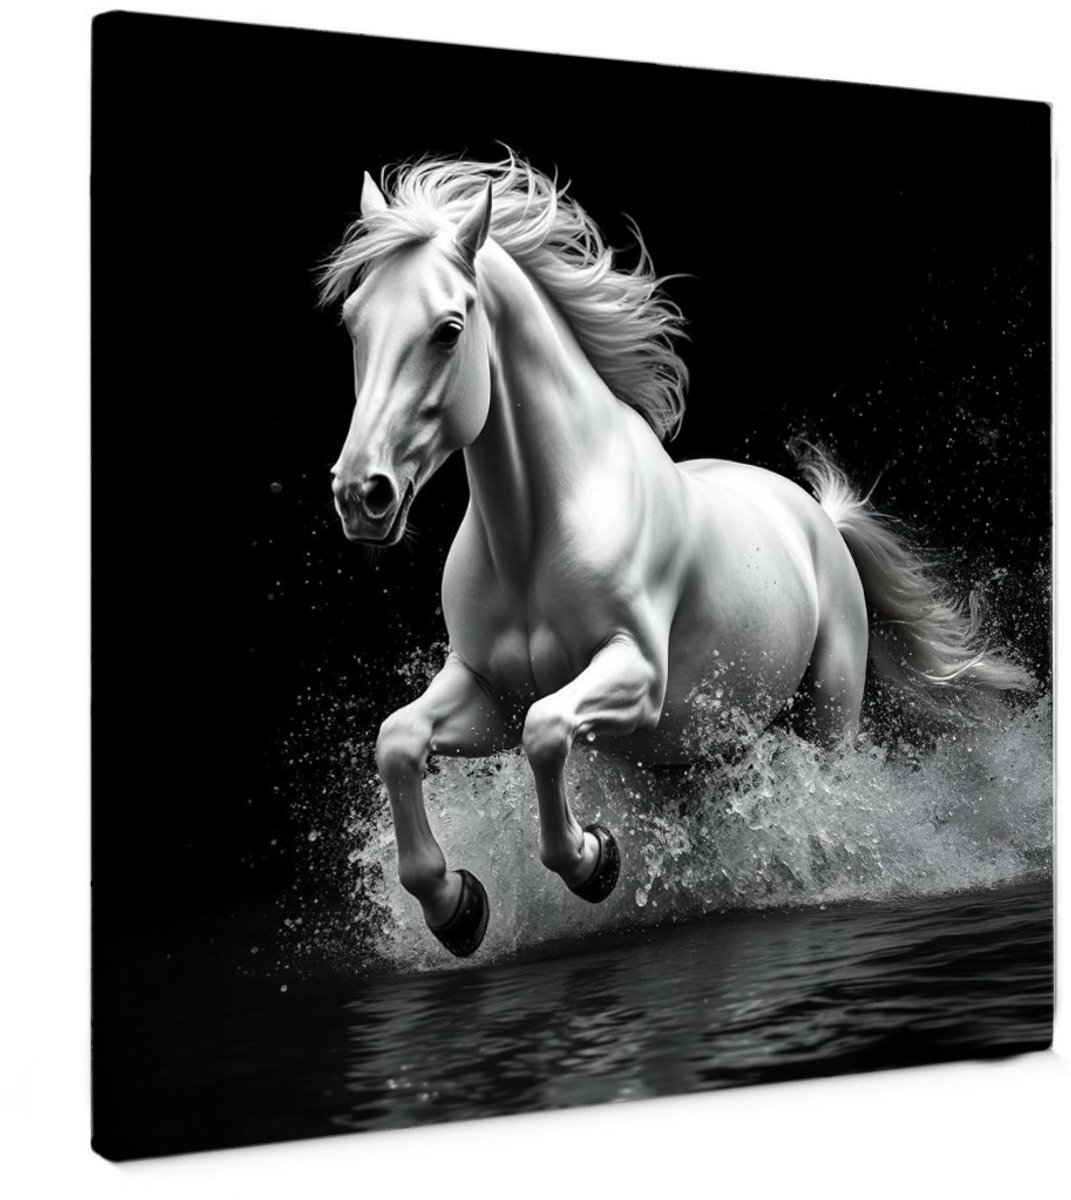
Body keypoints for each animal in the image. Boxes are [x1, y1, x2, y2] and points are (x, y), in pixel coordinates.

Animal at [318, 155, 1031, 957]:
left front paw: (593, 860)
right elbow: (399, 741)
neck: (534, 538)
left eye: (447, 330)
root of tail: (818, 516)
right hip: (682, 758)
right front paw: (457, 907)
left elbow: (546, 734)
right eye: (353, 323)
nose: (362, 495)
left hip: (825, 714)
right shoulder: (486, 692)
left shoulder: (634, 678)